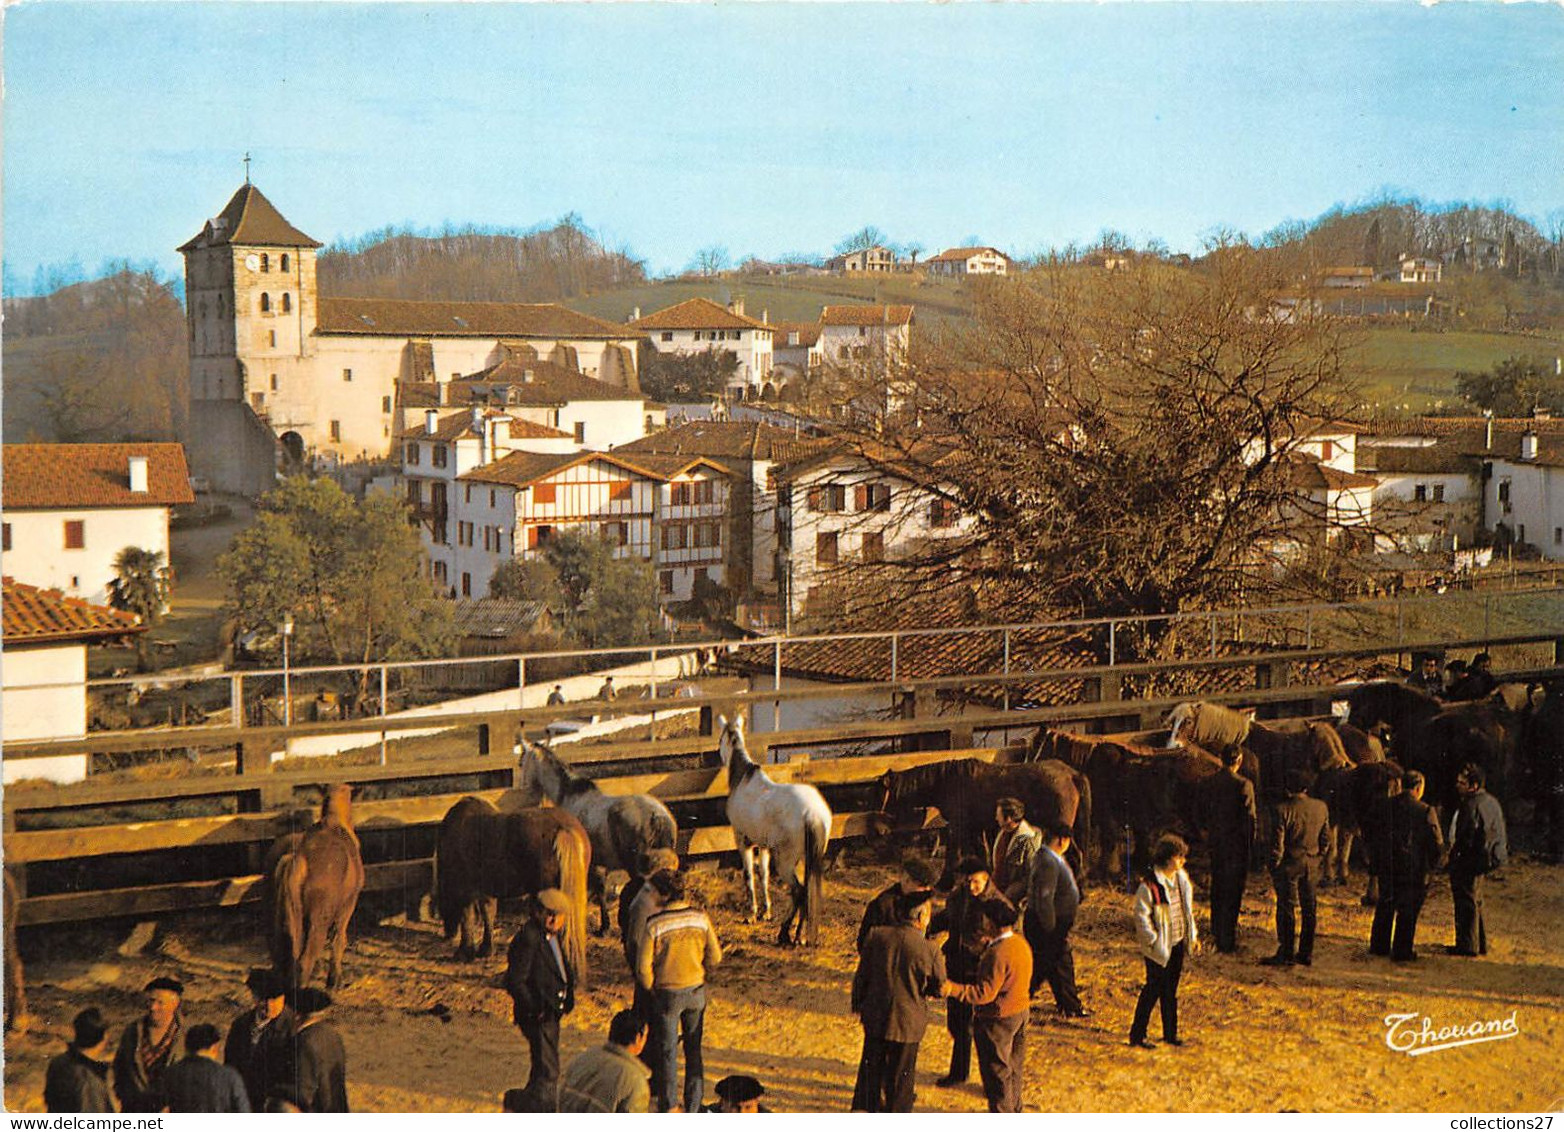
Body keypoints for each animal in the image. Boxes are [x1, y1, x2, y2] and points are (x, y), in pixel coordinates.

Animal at [272, 781, 365, 988]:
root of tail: (299, 859)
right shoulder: (348, 904)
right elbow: (339, 939)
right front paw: (335, 980)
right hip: (318, 919)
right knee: (306, 959)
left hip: (288, 922)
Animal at [434, 797, 591, 975]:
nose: (448, 934)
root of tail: (563, 830)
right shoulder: (486, 889)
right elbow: (488, 914)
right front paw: (486, 949)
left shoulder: (465, 889)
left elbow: (467, 917)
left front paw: (464, 952)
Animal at [519, 737, 678, 931]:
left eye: (521, 762)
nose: (522, 787)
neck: (570, 795)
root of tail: (657, 815)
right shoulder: (600, 862)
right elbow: (600, 888)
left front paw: (603, 926)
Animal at [716, 716, 832, 944]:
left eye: (720, 739)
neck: (743, 780)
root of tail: (812, 813)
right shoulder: (763, 846)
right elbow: (764, 875)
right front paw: (766, 912)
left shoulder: (743, 840)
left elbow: (749, 876)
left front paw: (752, 914)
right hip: (806, 858)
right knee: (806, 891)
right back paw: (799, 936)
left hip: (786, 861)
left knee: (798, 891)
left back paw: (785, 933)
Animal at [882, 756, 1088, 888]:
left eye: (882, 791)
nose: (883, 828)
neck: (950, 782)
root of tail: (1072, 774)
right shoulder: (975, 828)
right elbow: (983, 853)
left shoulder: (957, 827)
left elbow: (953, 855)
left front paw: (944, 883)